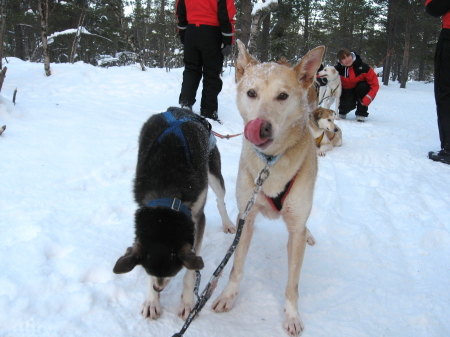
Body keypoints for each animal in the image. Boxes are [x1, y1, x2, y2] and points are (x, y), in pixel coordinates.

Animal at [112, 106, 234, 318]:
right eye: (149, 270)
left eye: (172, 272)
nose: (159, 288)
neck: (167, 195)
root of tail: (181, 110)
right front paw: (151, 300)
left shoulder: (197, 217)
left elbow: (190, 272)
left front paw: (187, 301)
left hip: (214, 174)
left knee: (220, 200)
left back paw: (227, 223)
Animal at [211, 40, 324, 334]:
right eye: (252, 93)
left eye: (282, 96)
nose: (259, 127)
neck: (271, 164)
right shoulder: (247, 217)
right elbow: (236, 267)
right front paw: (228, 296)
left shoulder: (295, 230)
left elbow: (292, 284)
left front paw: (292, 316)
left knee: (304, 226)